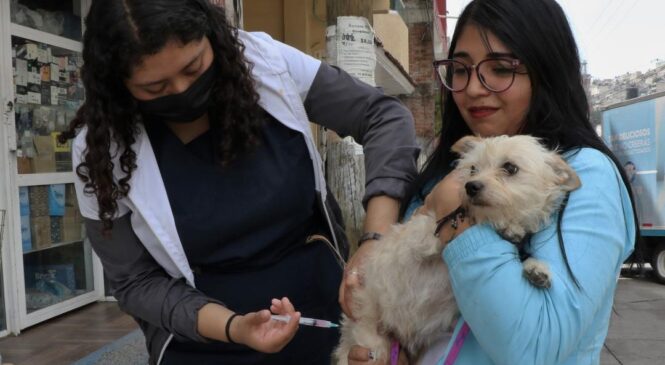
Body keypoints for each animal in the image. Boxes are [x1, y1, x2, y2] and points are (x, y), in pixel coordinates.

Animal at [334, 135, 580, 362]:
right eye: (472, 169)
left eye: (510, 167)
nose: (471, 186)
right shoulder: (414, 238)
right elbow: (433, 229)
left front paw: (536, 268)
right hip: (368, 335)